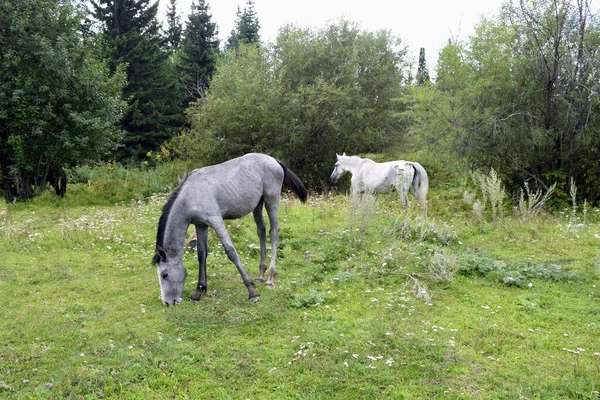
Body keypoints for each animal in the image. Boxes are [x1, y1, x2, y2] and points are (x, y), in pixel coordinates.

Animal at [152, 154, 308, 306]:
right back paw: (260, 276)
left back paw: (270, 278)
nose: (167, 302)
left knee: (273, 233)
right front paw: (199, 290)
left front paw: (252, 292)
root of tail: (274, 160)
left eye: (164, 275)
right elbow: (201, 254)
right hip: (258, 204)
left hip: (272, 200)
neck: (190, 195)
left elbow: (231, 252)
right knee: (261, 231)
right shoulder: (200, 225)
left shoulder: (216, 221)